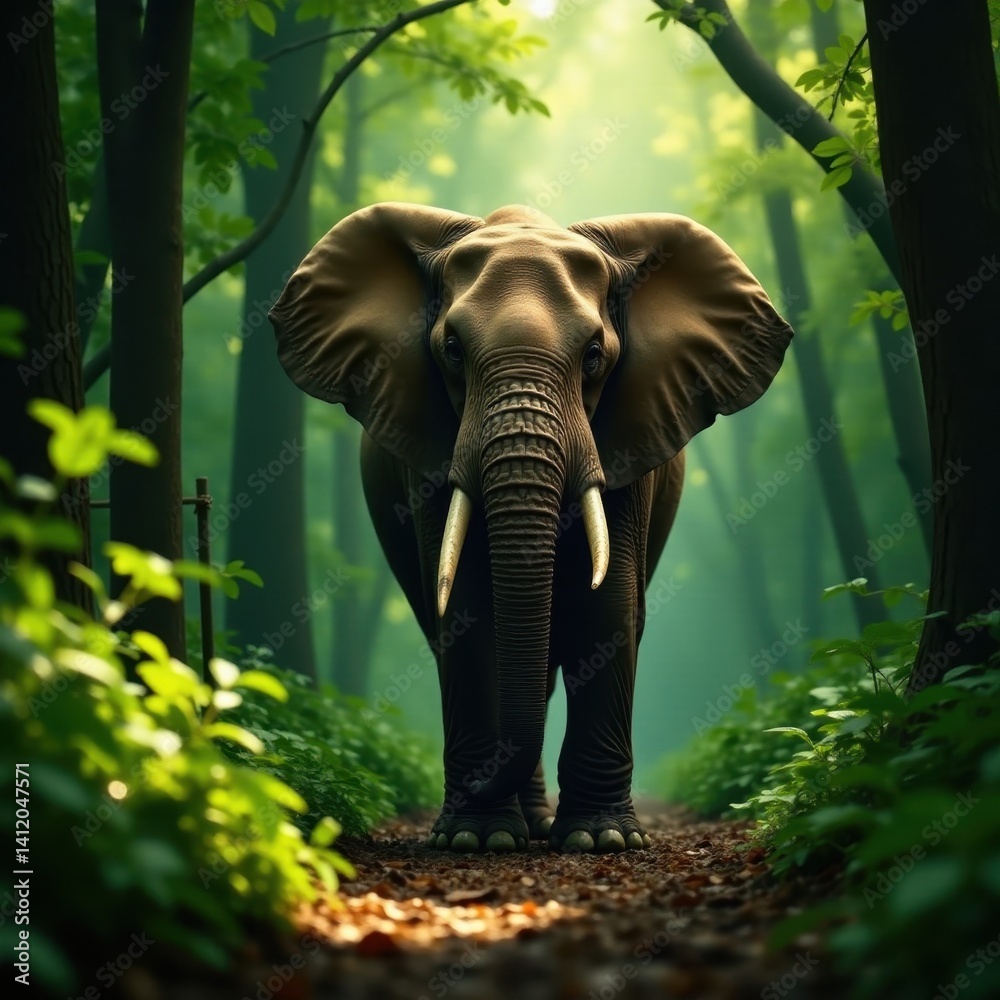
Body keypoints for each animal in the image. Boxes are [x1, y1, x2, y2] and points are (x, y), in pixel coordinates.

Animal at [269, 202, 792, 854]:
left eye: (594, 355)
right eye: (451, 350)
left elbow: (606, 607)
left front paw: (600, 840)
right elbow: (467, 609)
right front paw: (476, 839)